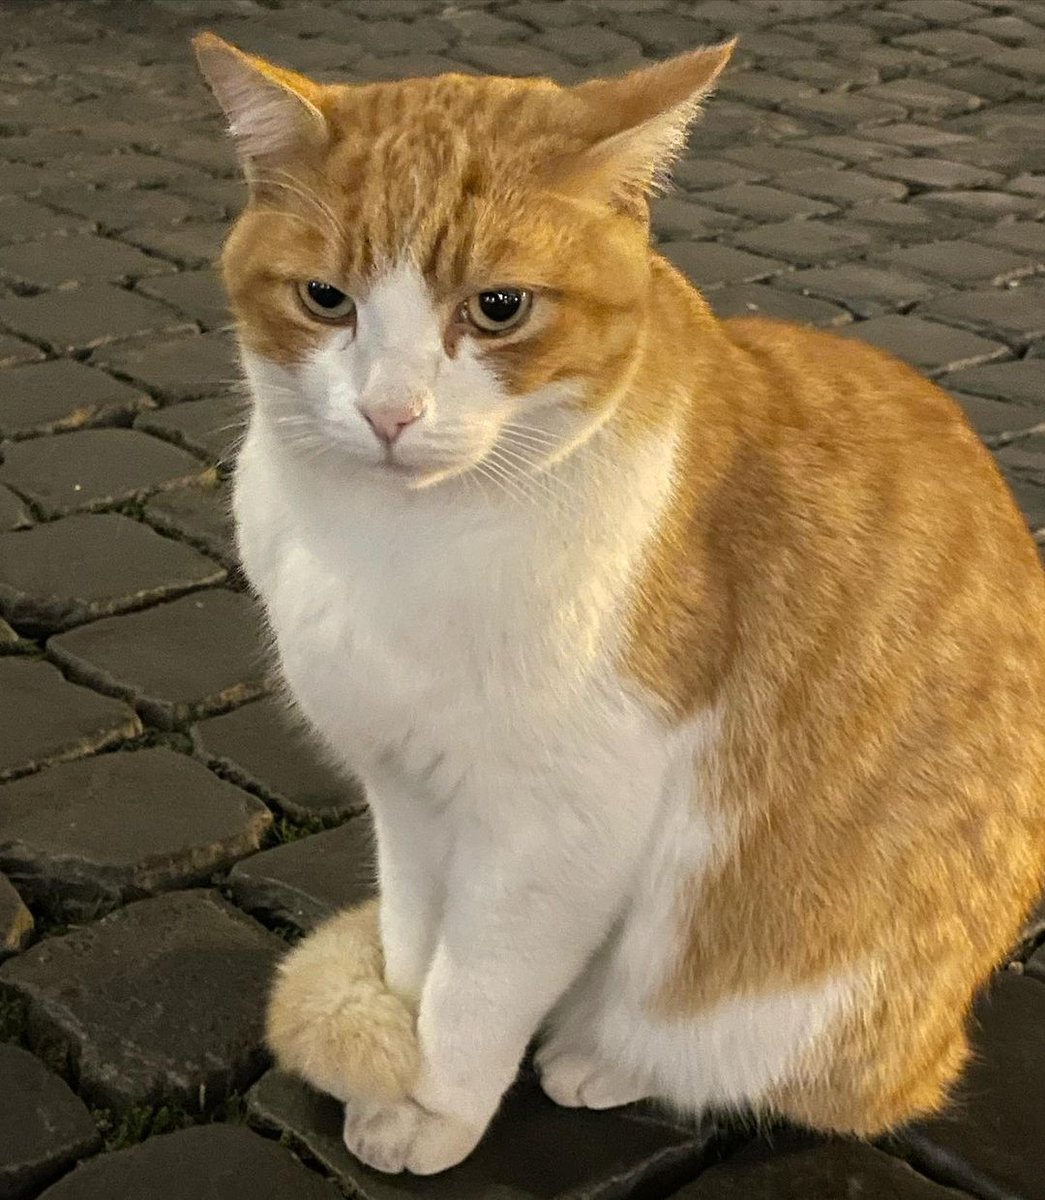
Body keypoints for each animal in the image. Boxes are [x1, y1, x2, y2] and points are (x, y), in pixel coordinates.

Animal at [194, 32, 1045, 1176]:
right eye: (327, 299)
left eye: (499, 308)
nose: (388, 412)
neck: (395, 544)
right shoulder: (406, 795)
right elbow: (419, 956)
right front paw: (392, 1065)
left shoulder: (561, 827)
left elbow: (475, 991)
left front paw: (437, 1107)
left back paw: (604, 1058)